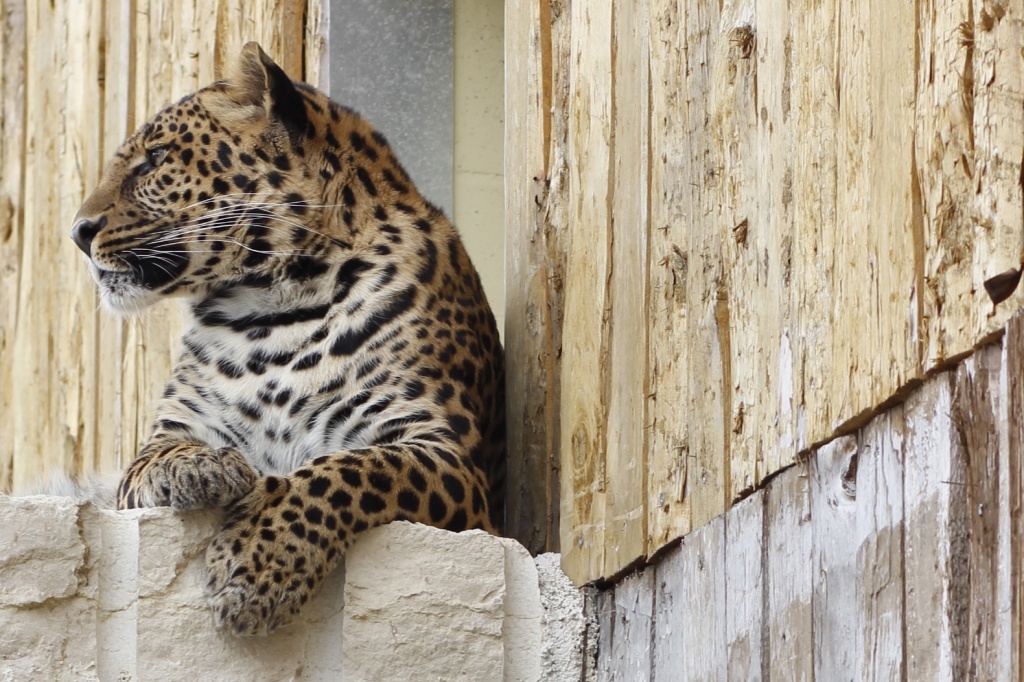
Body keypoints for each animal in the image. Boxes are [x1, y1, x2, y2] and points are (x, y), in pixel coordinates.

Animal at [68, 42, 507, 634]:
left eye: (155, 158)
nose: (78, 232)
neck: (269, 313)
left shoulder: (445, 454)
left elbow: (351, 468)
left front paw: (258, 561)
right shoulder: (167, 434)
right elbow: (157, 457)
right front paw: (204, 467)